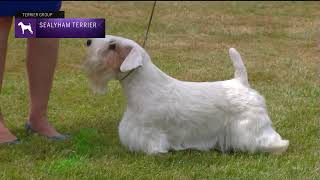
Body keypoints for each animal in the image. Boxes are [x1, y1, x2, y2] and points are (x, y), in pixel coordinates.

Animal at [84, 34, 288, 155]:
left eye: (112, 46)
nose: (88, 41)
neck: (143, 85)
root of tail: (241, 81)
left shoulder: (148, 130)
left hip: (251, 124)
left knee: (267, 138)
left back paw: (277, 147)